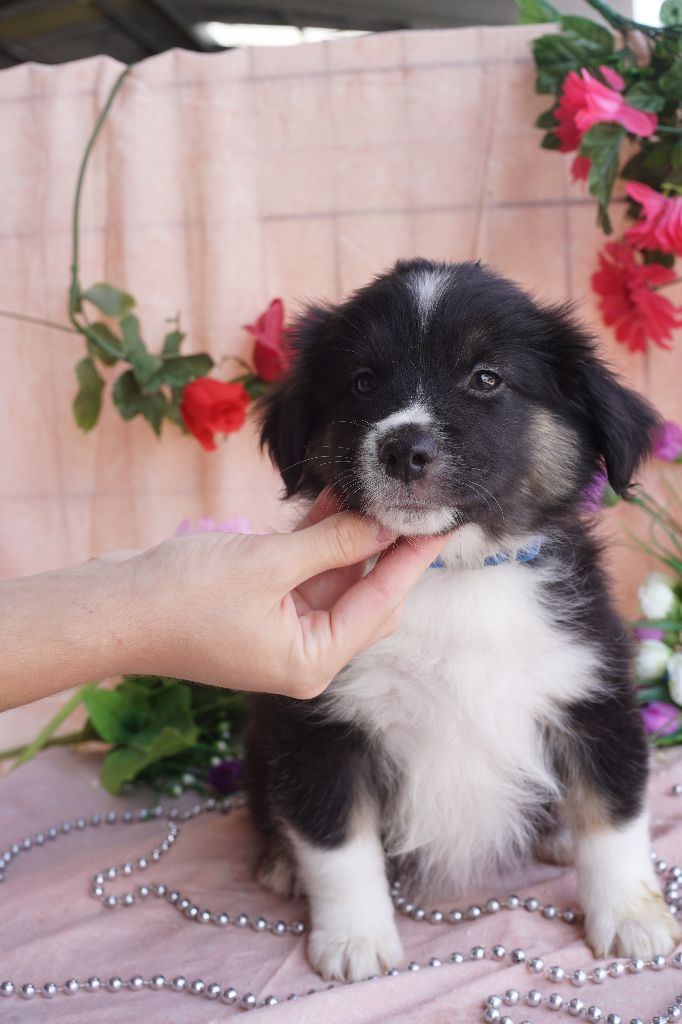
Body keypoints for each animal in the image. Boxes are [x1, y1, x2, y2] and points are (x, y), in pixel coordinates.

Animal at [245, 258, 679, 982]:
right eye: (362, 382)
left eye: (486, 378)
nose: (404, 449)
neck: (453, 574)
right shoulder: (321, 719)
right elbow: (337, 842)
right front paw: (354, 938)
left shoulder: (592, 691)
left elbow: (615, 817)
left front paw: (631, 917)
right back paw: (279, 862)